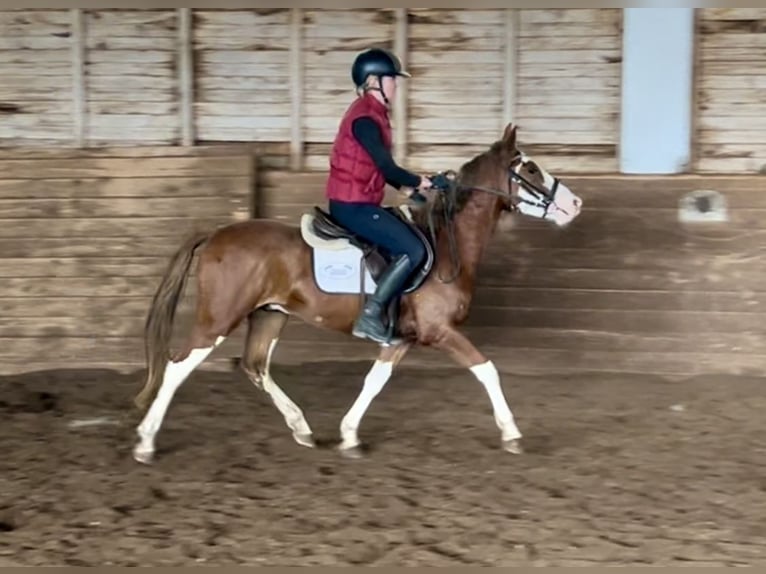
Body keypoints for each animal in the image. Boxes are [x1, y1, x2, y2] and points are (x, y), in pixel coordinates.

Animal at [130, 124, 584, 466]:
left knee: (256, 366)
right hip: (220, 318)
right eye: (530, 168)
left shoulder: (402, 338)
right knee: (178, 366)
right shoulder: (439, 332)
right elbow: (487, 370)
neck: (446, 244)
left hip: (270, 314)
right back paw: (146, 441)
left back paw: (302, 428)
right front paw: (512, 433)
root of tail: (216, 235)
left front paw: (349, 435)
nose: (576, 203)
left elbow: (374, 380)